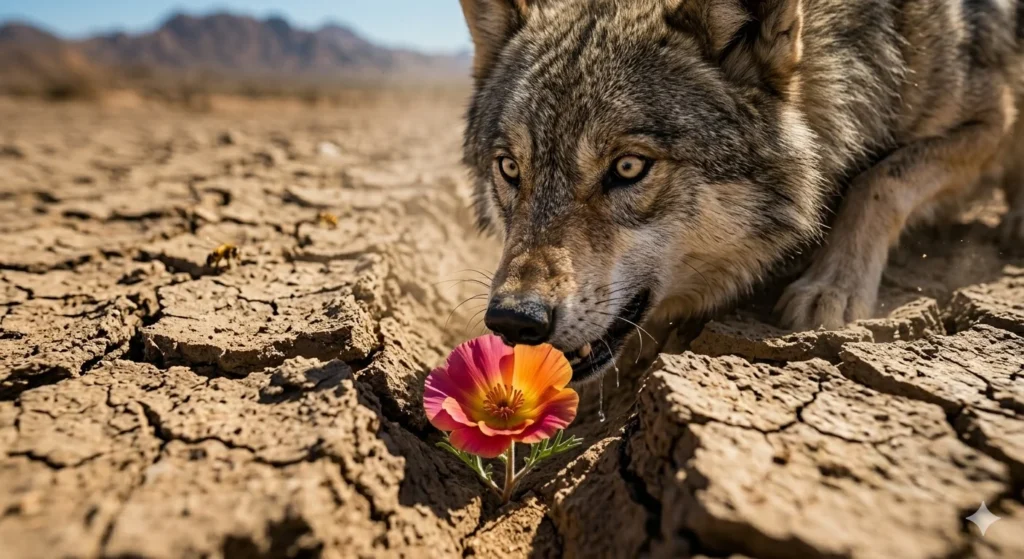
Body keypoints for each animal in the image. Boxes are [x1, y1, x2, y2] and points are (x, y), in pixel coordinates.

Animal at [460, 0, 1024, 382]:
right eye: (509, 168)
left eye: (627, 167)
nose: (513, 320)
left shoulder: (994, 116)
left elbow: (879, 180)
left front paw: (834, 287)